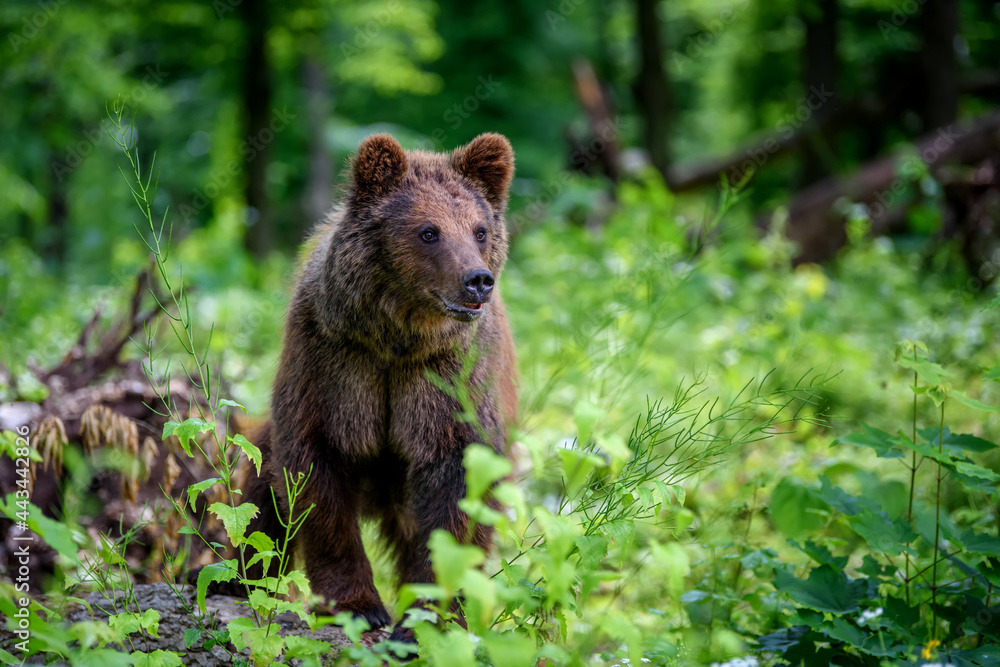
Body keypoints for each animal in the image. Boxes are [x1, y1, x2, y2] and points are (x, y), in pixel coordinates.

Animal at [239, 132, 517, 641]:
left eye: (479, 230)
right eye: (429, 231)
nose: (477, 280)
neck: (399, 338)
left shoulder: (447, 380)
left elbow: (460, 487)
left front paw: (427, 615)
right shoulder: (335, 362)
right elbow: (315, 474)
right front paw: (358, 605)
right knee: (259, 503)